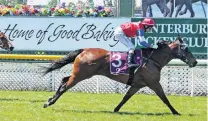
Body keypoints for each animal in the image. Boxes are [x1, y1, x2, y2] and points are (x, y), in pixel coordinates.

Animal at [41, 37, 197, 115]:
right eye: (187, 49)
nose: (195, 62)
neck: (153, 59)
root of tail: (84, 50)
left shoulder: (136, 85)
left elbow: (125, 98)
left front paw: (116, 110)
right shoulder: (154, 83)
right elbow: (165, 99)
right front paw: (176, 112)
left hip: (78, 74)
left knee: (64, 80)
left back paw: (50, 100)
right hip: (81, 75)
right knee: (64, 86)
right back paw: (49, 102)